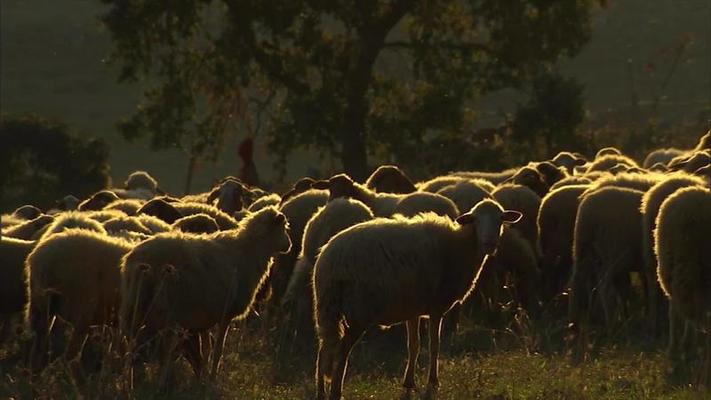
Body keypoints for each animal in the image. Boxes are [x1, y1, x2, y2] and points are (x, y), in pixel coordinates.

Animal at [119, 206, 292, 378]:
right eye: (283, 227)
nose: (289, 245)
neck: (251, 251)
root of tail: (135, 260)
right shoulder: (225, 313)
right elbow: (218, 350)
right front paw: (213, 377)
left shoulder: (205, 317)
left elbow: (207, 349)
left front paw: (204, 374)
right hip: (165, 310)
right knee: (161, 350)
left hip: (135, 307)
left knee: (133, 346)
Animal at [314, 200, 520, 400]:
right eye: (476, 220)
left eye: (500, 219)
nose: (489, 243)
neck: (459, 248)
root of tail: (331, 260)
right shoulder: (436, 307)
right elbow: (434, 345)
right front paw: (433, 383)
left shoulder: (412, 309)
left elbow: (413, 345)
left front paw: (409, 383)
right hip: (359, 311)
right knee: (341, 350)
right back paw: (336, 392)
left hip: (327, 308)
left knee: (324, 349)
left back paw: (321, 392)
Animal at [572, 186, 648, 330]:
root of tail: (588, 212)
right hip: (611, 251)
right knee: (604, 287)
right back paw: (611, 325)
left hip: (583, 249)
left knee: (578, 283)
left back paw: (577, 323)